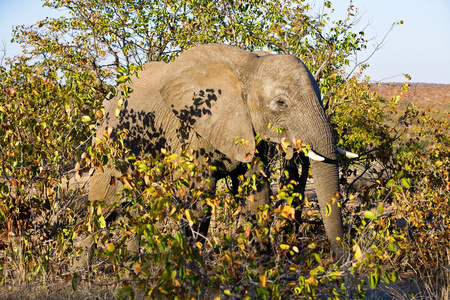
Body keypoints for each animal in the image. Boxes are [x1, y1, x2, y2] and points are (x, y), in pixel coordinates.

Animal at [89, 42, 356, 253]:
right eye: (281, 103)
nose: (341, 260)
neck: (248, 66)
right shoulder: (188, 127)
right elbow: (198, 200)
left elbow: (257, 190)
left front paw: (260, 264)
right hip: (106, 147)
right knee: (101, 208)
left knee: (132, 210)